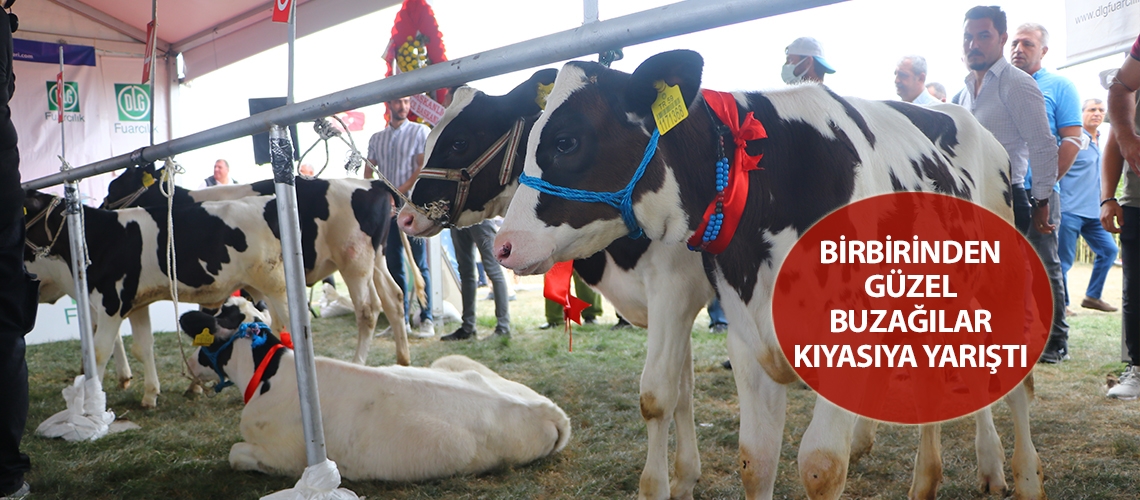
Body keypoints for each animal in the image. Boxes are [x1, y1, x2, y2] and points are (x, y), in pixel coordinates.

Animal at [100, 165, 408, 369]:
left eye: (114, 187)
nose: (102, 207)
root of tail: (371, 184)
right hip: (377, 261)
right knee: (394, 298)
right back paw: (403, 360)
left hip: (354, 261)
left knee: (368, 310)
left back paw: (359, 362)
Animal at [182, 298, 574, 482]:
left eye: (203, 341)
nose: (190, 366)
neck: (269, 371)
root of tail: (550, 411)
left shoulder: (284, 456)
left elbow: (235, 453)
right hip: (454, 360)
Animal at [396, 70, 706, 500]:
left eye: (459, 142)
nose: (405, 217)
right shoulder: (680, 305)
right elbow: (684, 391)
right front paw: (687, 478)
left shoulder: (674, 292)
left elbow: (660, 395)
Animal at [490, 51, 1044, 500]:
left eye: (566, 141)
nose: (503, 245)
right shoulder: (746, 340)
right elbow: (754, 461)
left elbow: (821, 466)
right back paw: (928, 478)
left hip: (999, 284)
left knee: (1012, 380)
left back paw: (1019, 474)